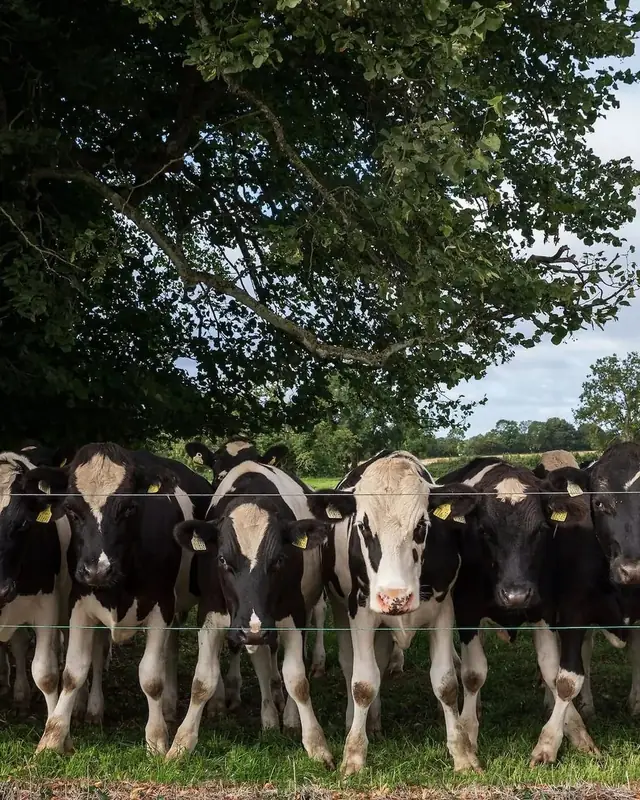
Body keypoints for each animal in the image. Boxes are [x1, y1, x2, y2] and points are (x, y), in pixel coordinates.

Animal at [33, 442, 212, 756]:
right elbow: (73, 672)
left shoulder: (162, 605)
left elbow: (151, 677)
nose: (97, 569)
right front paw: (52, 737)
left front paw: (157, 738)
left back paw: (168, 707)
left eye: (129, 507)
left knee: (170, 652)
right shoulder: (80, 602)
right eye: (71, 509)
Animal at [167, 458, 333, 766]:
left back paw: (289, 716)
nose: (253, 629)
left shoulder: (292, 613)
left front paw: (316, 743)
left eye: (279, 559)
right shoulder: (211, 614)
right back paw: (269, 713)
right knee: (263, 661)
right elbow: (202, 681)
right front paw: (181, 743)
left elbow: (297, 680)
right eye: (222, 559)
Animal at [308, 450, 480, 775]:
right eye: (363, 527)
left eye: (421, 526)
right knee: (351, 664)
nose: (394, 597)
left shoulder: (443, 610)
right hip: (339, 606)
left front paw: (462, 753)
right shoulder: (361, 611)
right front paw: (354, 755)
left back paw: (373, 721)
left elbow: (446, 684)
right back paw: (355, 721)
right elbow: (363, 684)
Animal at [440, 455, 599, 767]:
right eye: (485, 531)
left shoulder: (543, 610)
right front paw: (468, 733)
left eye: (540, 530)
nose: (515, 595)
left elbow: (552, 670)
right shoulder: (466, 611)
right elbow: (473, 674)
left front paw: (571, 733)